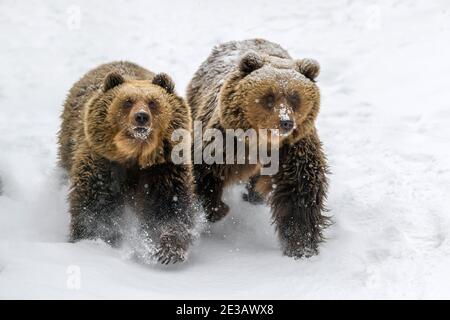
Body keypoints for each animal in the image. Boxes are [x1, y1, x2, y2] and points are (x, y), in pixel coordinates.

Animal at [57, 61, 197, 264]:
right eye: (128, 101)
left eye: (153, 102)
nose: (141, 116)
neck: (135, 156)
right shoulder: (104, 164)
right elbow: (95, 206)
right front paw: (93, 241)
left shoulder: (163, 169)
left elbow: (168, 206)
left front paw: (167, 250)